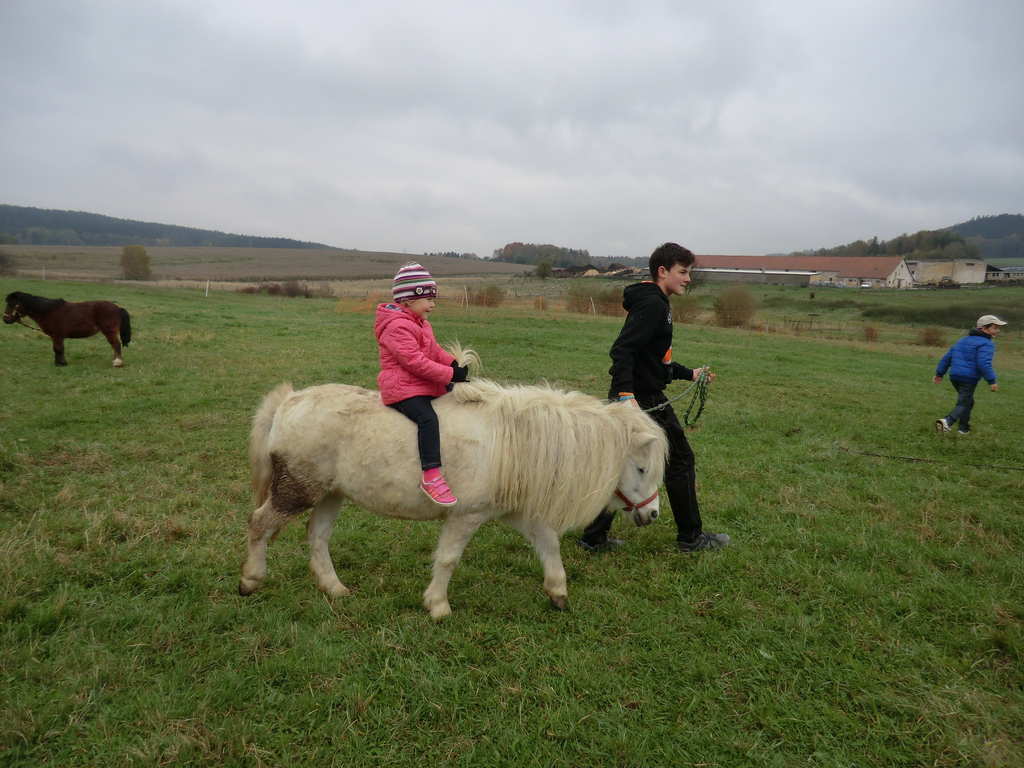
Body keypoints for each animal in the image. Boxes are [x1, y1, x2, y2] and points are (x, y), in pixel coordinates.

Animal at [3, 290, 132, 370]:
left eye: (12, 304)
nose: (5, 319)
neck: (48, 311)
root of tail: (117, 308)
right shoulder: (56, 336)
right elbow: (58, 349)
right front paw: (59, 363)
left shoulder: (57, 335)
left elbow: (58, 349)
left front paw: (61, 364)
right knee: (114, 345)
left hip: (109, 331)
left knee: (116, 344)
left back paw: (118, 363)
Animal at [239, 352, 671, 622]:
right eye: (641, 468)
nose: (652, 513)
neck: (513, 441)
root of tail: (290, 400)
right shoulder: (466, 515)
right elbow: (448, 559)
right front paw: (438, 606)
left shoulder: (518, 514)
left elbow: (548, 546)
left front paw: (558, 593)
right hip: (297, 489)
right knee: (260, 524)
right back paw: (250, 580)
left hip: (331, 493)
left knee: (317, 537)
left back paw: (334, 588)